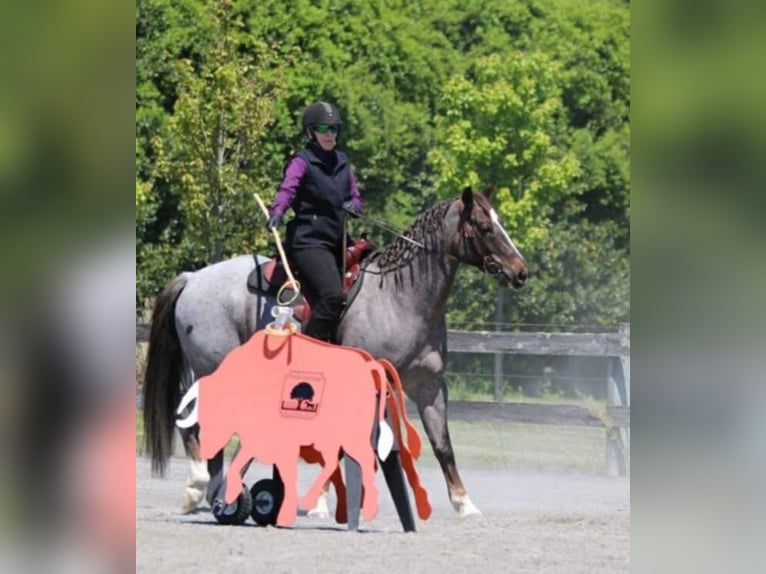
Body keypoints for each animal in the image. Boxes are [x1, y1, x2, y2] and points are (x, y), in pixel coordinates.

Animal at [144, 187, 528, 520]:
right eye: (485, 226)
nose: (520, 271)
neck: (398, 298)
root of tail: (193, 278)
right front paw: (323, 503)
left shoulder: (430, 386)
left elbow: (442, 443)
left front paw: (465, 504)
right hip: (212, 368)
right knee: (193, 418)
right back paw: (200, 487)